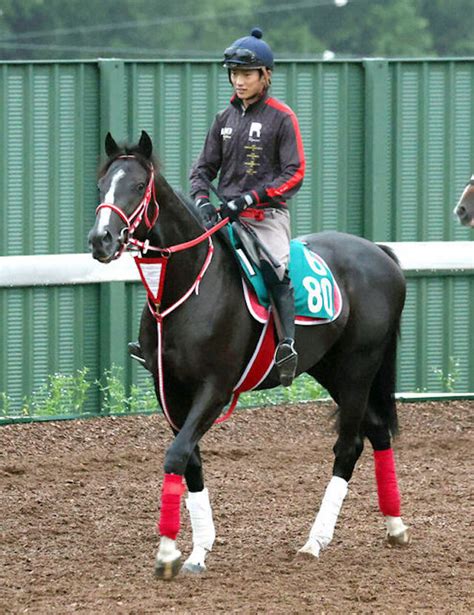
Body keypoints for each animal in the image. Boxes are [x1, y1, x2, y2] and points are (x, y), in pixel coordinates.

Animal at [89, 131, 412, 584]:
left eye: (137, 186)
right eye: (103, 185)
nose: (100, 239)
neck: (188, 287)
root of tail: (382, 254)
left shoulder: (215, 389)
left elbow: (177, 454)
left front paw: (169, 551)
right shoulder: (169, 390)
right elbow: (190, 461)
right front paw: (197, 549)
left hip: (357, 369)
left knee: (349, 446)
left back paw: (315, 541)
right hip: (333, 370)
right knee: (379, 430)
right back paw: (395, 526)